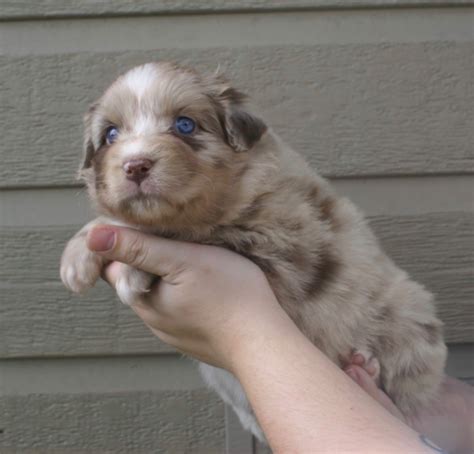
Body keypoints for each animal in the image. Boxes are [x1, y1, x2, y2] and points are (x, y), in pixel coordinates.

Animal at [61, 62, 446, 442]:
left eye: (185, 125)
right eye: (111, 134)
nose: (135, 165)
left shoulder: (273, 240)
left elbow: (182, 233)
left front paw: (129, 268)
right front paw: (77, 257)